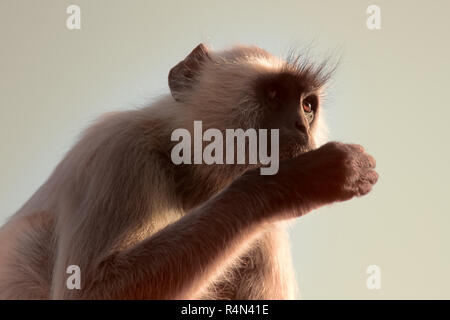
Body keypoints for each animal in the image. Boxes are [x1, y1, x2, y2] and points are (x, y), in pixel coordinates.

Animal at [0, 43, 378, 298]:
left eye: (307, 105)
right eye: (273, 94)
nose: (301, 126)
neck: (187, 174)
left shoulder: (264, 237)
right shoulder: (117, 148)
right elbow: (90, 290)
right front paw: (292, 183)